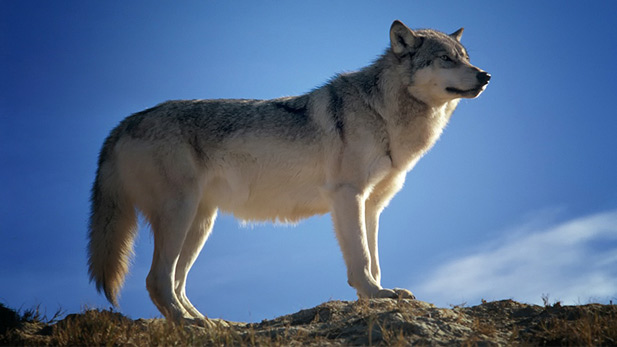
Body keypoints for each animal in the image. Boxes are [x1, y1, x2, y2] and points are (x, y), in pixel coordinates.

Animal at [88, 21, 490, 326]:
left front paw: (378, 295)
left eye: (466, 58)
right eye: (446, 59)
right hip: (180, 215)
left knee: (176, 282)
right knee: (157, 280)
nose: (486, 75)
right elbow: (361, 259)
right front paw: (375, 295)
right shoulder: (348, 196)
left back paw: (207, 322)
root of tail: (123, 124)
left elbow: (374, 260)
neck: (383, 113)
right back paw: (188, 324)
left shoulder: (372, 206)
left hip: (200, 224)